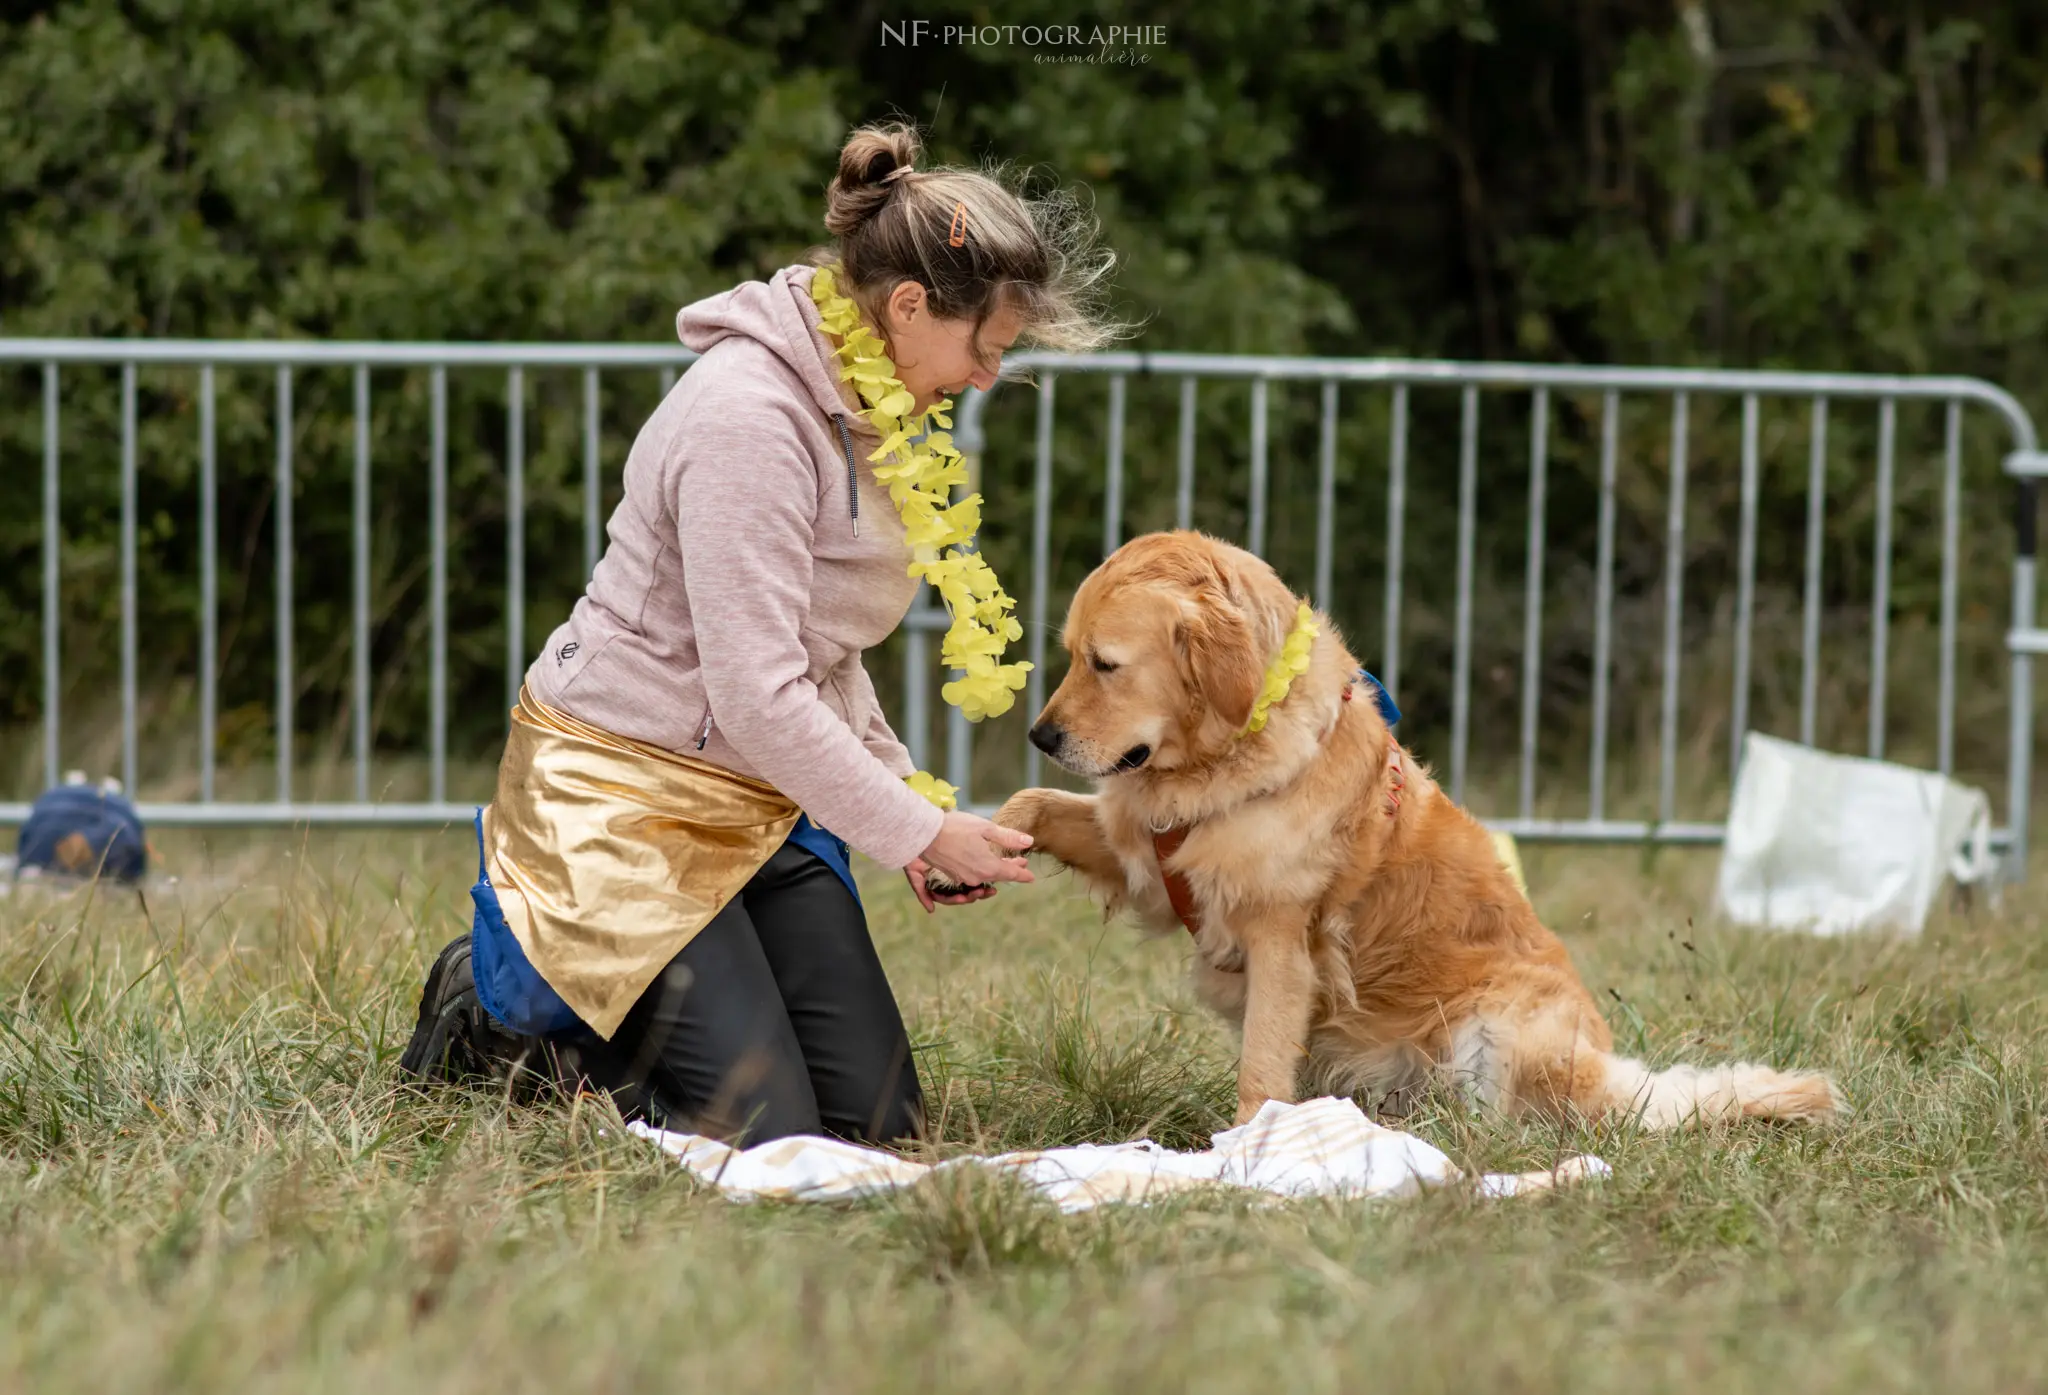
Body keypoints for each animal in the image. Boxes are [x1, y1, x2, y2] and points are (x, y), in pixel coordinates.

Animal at [983, 528, 1851, 1122]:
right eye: (1070, 655)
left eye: (1104, 663)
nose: (1040, 735)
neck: (1228, 755)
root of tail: (1609, 1067)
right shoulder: (1149, 861)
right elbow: (1031, 805)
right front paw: (985, 844)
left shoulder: (1279, 939)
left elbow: (1261, 1067)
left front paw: (1248, 1149)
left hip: (1497, 1036)